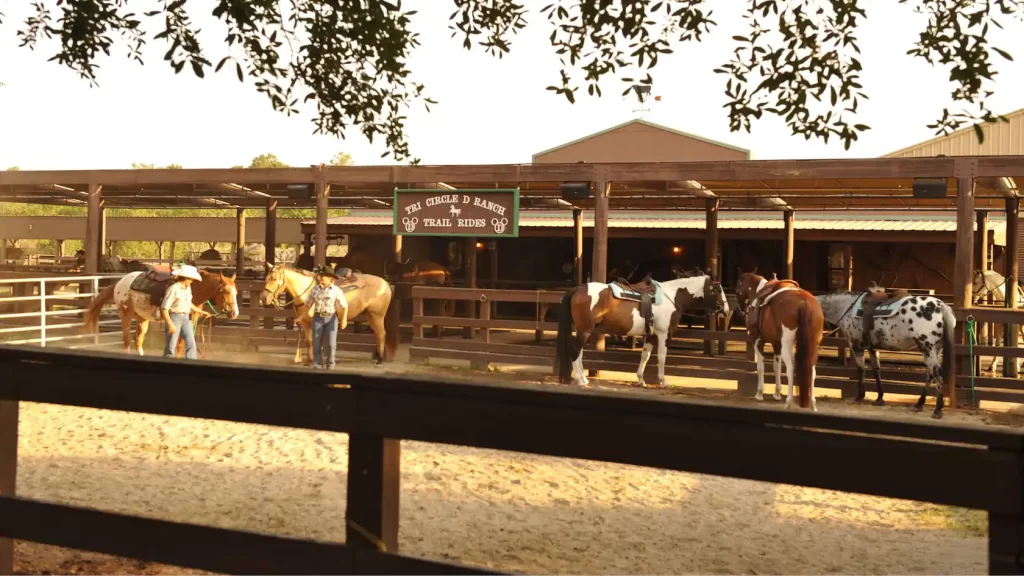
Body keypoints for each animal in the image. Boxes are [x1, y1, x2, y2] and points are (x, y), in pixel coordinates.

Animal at [258, 261, 393, 360]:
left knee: (382, 334)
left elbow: (318, 340)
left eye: (274, 279)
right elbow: (309, 341)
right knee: (377, 334)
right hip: (370, 316)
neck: (307, 292)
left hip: (377, 315)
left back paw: (380, 359)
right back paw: (377, 356)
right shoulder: (305, 323)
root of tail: (385, 284)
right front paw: (310, 361)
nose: (263, 298)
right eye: (266, 277)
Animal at [552, 272, 729, 385]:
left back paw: (583, 378)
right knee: (576, 351)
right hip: (585, 330)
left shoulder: (650, 335)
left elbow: (645, 356)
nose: (725, 310)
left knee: (579, 352)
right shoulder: (663, 335)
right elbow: (661, 357)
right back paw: (580, 380)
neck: (672, 297)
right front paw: (663, 381)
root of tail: (578, 289)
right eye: (718, 289)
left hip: (583, 330)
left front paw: (640, 380)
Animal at [737, 268, 823, 407]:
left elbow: (760, 367)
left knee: (791, 368)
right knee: (812, 370)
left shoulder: (758, 341)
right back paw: (812, 403)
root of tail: (804, 302)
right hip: (813, 344)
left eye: (737, 287)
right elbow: (777, 367)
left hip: (787, 344)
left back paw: (789, 401)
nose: (740, 310)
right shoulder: (777, 344)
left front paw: (759, 394)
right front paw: (777, 394)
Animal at [811, 291, 954, 416]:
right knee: (930, 375)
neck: (845, 308)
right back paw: (919, 404)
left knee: (936, 373)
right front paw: (879, 398)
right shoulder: (872, 348)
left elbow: (861, 370)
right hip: (935, 350)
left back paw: (937, 410)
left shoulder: (856, 346)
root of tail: (941, 306)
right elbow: (877, 370)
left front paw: (859, 397)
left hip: (928, 349)